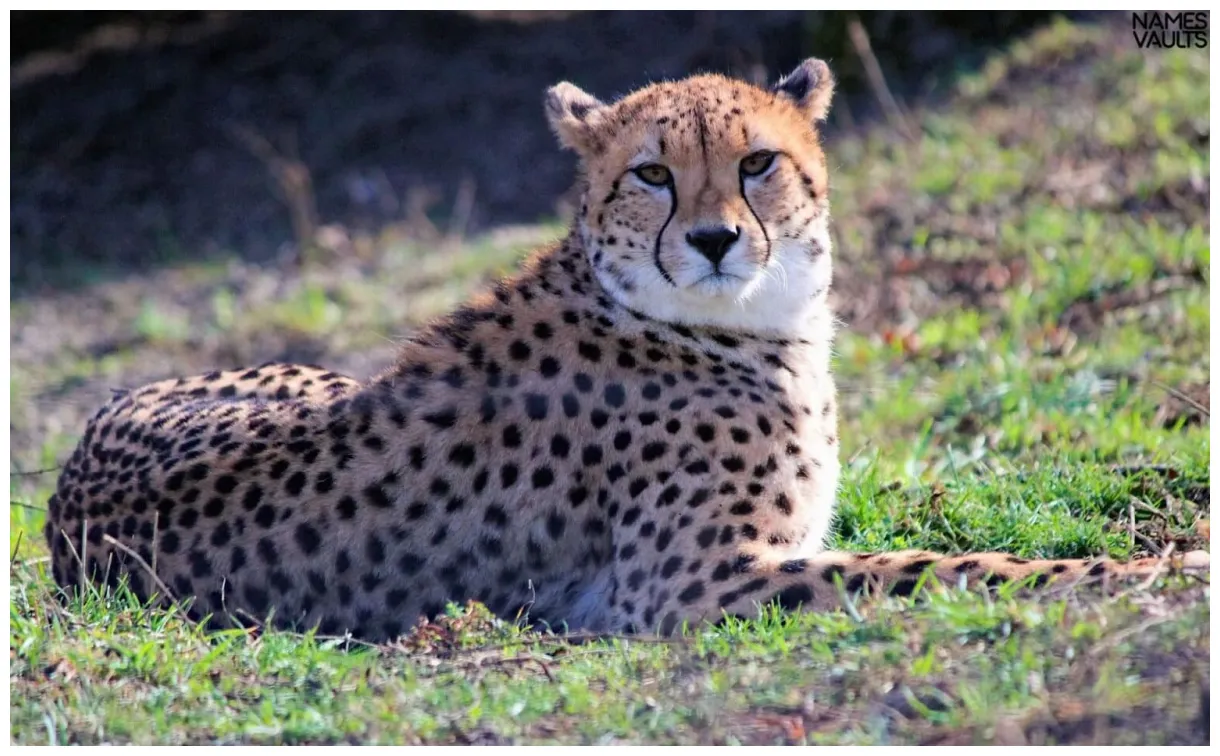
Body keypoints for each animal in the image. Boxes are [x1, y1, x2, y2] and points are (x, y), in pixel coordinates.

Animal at [45, 59, 1209, 640]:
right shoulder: (690, 584)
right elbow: (951, 569)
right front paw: (1147, 570)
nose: (713, 239)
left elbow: (933, 552)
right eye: (652, 173)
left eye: (755, 163)